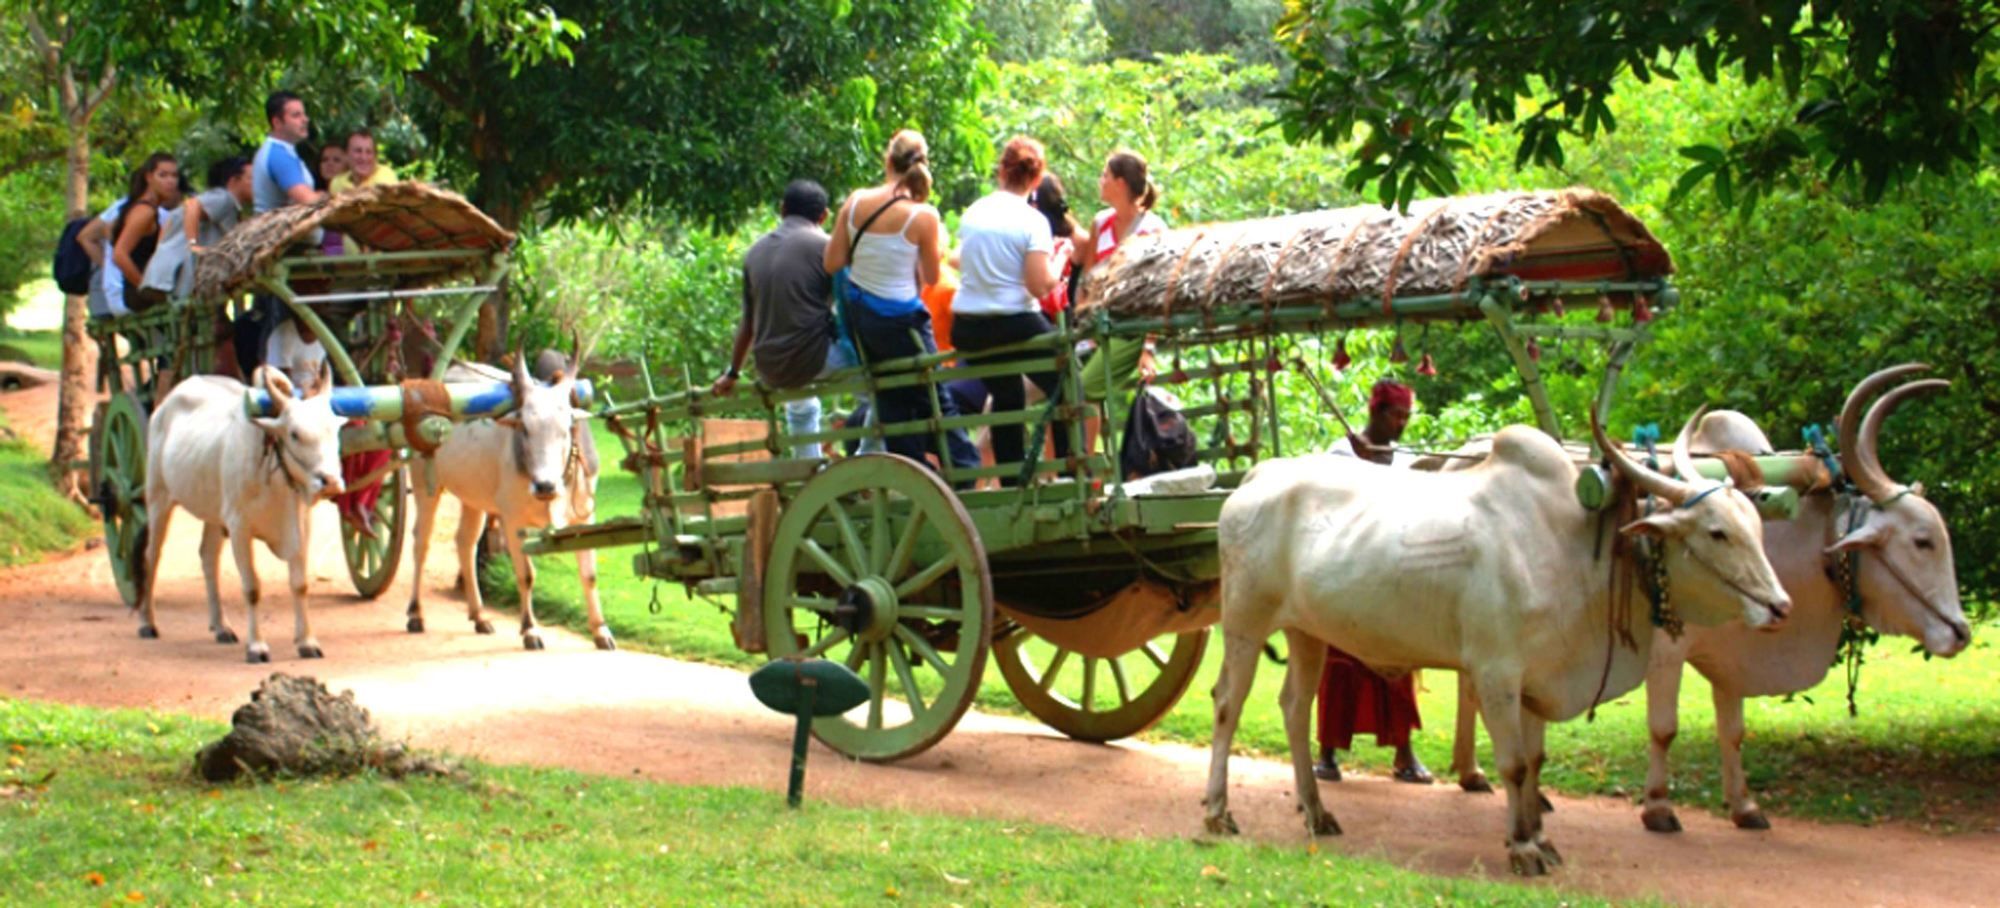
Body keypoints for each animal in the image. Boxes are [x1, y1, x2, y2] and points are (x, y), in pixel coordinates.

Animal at [1192, 410, 1792, 872]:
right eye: (1717, 532)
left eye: (1757, 526)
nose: (1780, 607)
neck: (1574, 547)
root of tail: (1257, 477)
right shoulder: (1496, 672)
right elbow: (1514, 764)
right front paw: (1523, 848)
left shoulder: (1538, 678)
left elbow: (1537, 760)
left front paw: (1539, 836)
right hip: (1245, 621)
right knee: (1227, 705)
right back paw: (1217, 812)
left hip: (1307, 632)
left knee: (1295, 708)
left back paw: (1317, 812)